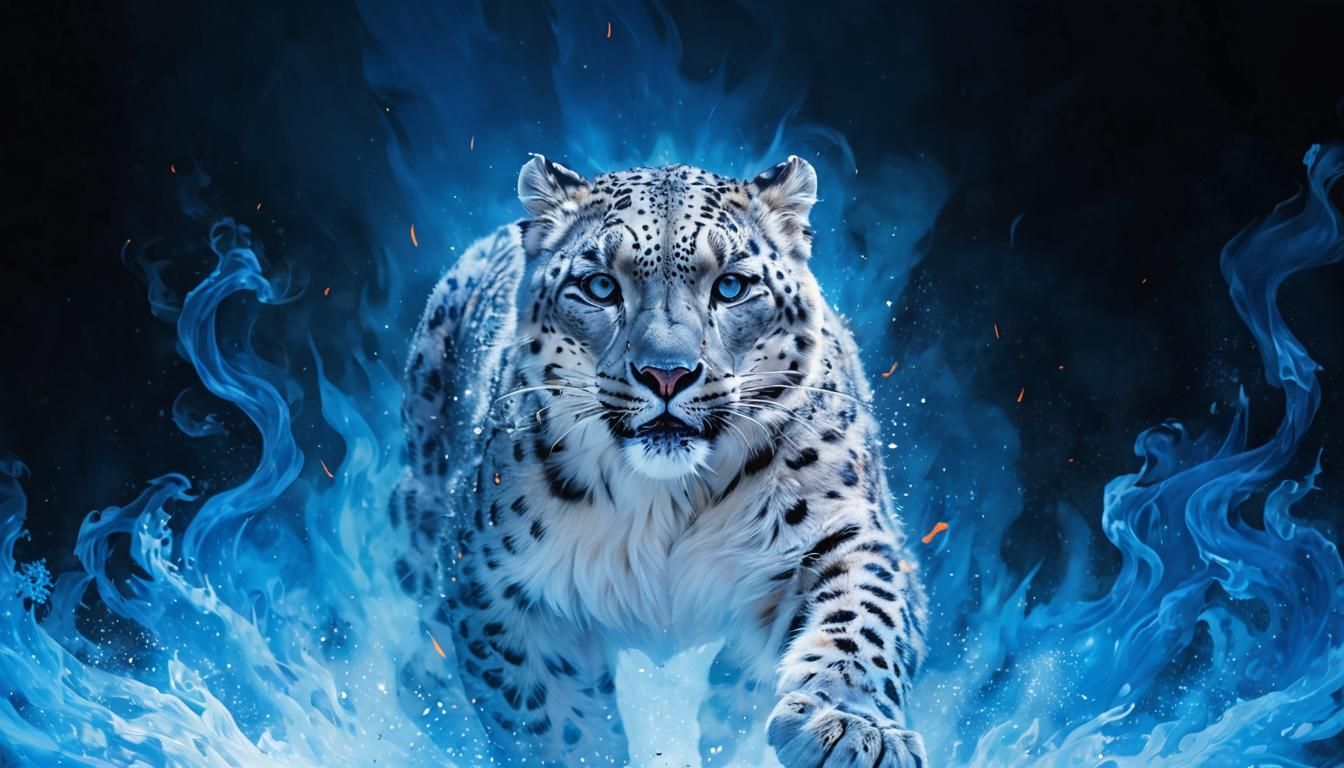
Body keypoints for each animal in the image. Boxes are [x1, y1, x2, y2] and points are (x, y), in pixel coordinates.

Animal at [393, 153, 928, 767]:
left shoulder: (845, 529)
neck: (666, 502)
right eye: (600, 286)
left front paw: (853, 728)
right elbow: (546, 718)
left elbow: (865, 616)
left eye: (731, 286)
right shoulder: (494, 583)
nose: (666, 373)